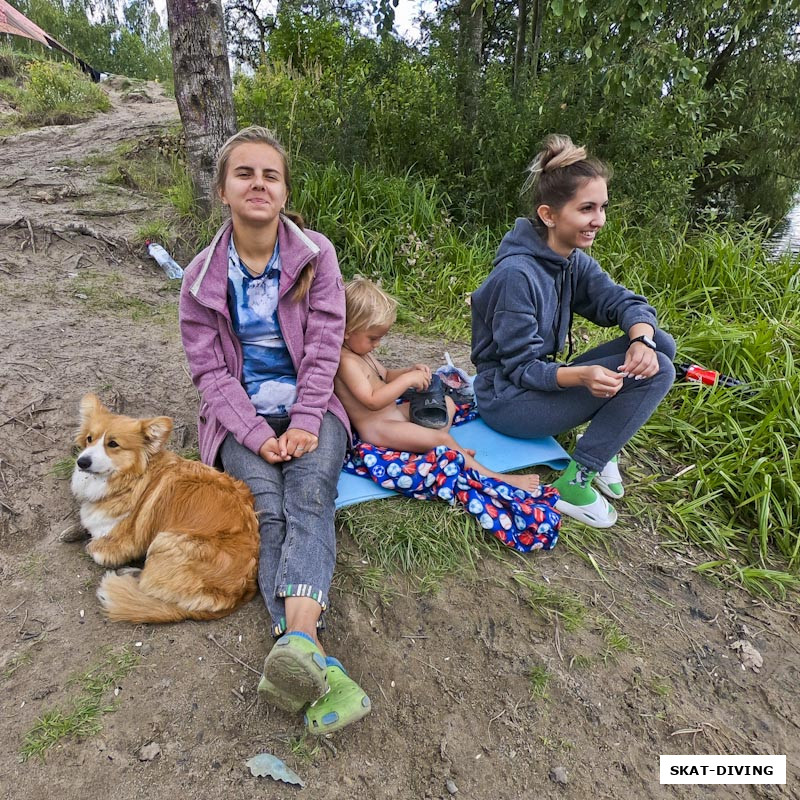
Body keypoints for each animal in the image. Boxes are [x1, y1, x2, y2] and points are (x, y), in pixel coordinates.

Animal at [70, 394, 260, 624]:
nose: (82, 462)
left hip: (165, 539)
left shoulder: (119, 543)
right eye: (90, 438)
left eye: (113, 444)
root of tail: (233, 596)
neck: (131, 477)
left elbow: (92, 546)